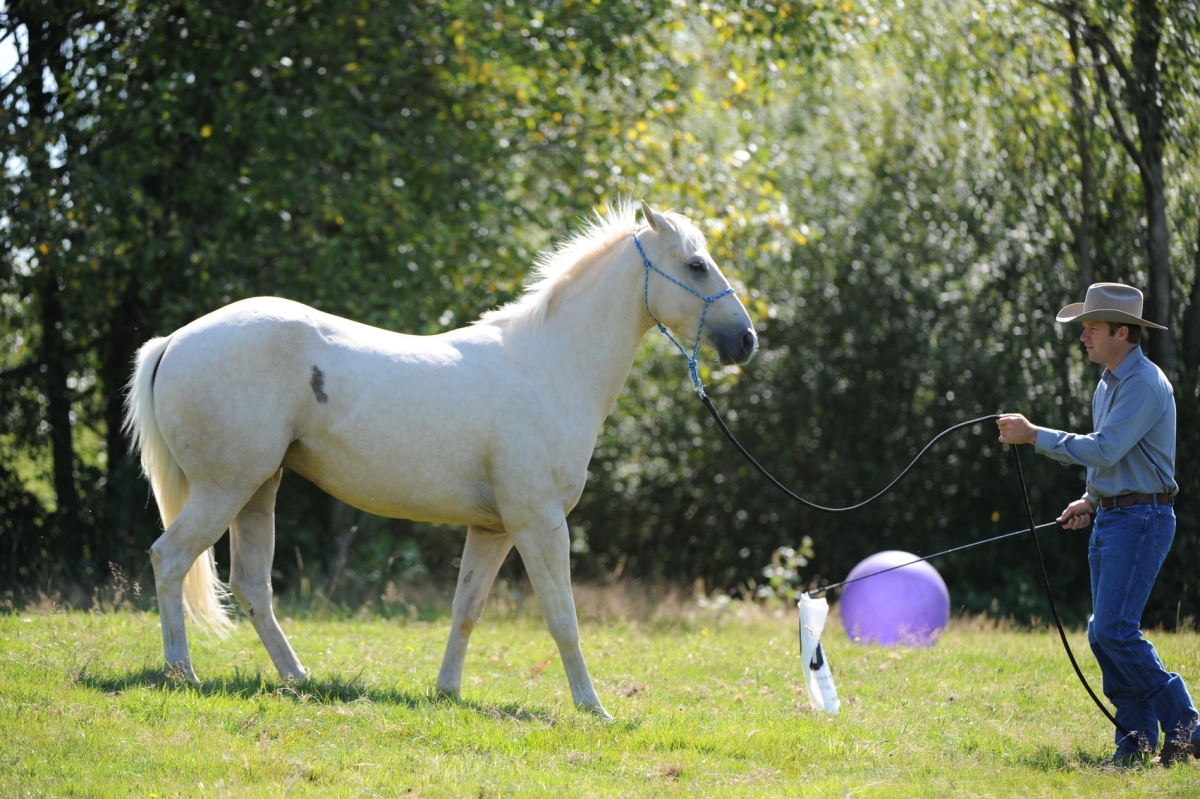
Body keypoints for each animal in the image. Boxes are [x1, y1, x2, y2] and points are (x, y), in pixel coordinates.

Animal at [123, 200, 757, 717]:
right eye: (696, 265)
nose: (746, 341)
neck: (549, 367)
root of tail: (173, 342)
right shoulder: (540, 523)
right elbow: (562, 618)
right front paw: (591, 707)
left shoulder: (493, 529)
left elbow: (466, 609)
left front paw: (447, 691)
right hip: (225, 488)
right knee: (170, 559)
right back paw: (183, 673)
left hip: (258, 489)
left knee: (252, 587)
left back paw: (299, 680)